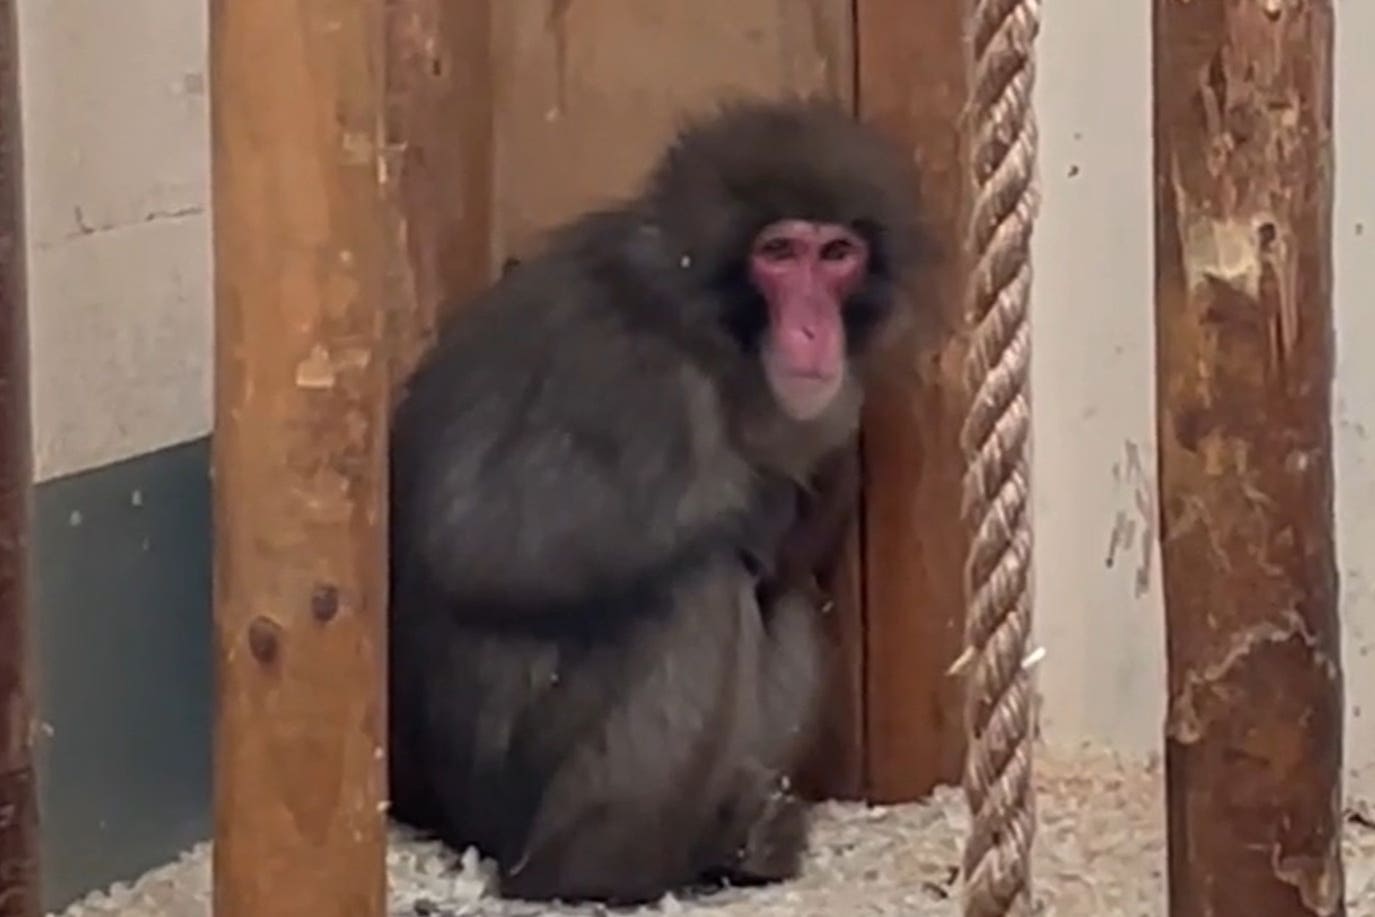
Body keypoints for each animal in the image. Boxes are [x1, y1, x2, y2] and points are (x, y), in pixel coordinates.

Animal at [387, 94, 924, 901]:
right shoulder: (634, 378)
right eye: (778, 252)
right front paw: (753, 499)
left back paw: (737, 839)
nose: (812, 329)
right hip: (506, 790)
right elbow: (485, 538)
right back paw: (595, 867)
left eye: (837, 255)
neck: (715, 333)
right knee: (700, 585)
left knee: (785, 593)